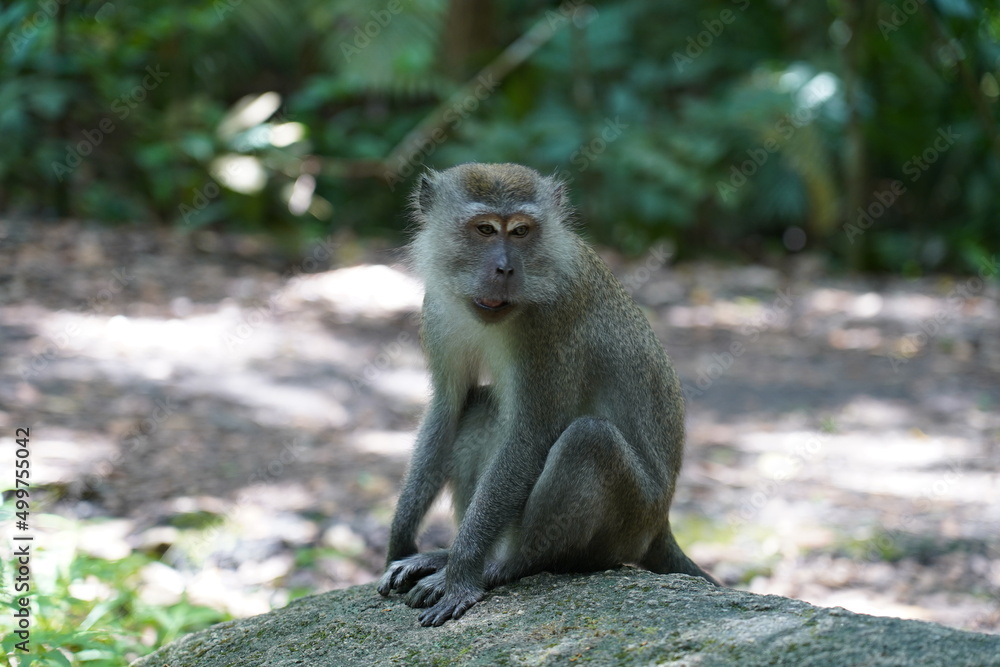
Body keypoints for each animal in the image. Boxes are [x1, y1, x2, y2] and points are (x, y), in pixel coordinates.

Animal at [376, 162, 720, 628]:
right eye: (485, 229)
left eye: (521, 231)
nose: (505, 269)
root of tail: (660, 521)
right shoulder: (439, 307)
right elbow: (448, 408)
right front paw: (401, 544)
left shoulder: (552, 321)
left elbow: (530, 436)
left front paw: (461, 577)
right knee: (480, 409)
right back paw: (445, 556)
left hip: (631, 521)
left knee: (588, 440)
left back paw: (507, 564)